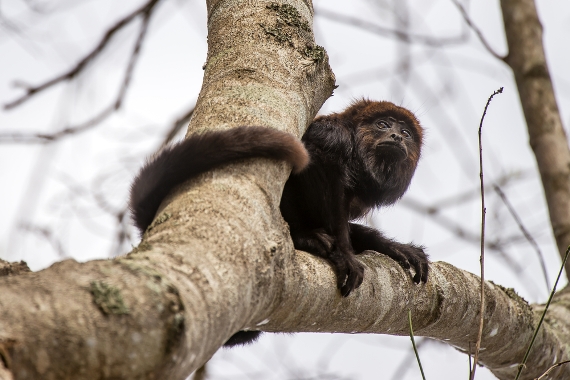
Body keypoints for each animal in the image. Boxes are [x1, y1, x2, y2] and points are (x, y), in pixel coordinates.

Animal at [129, 100, 426, 348]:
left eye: (406, 133)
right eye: (383, 124)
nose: (396, 136)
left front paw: (393, 247)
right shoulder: (332, 135)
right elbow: (321, 164)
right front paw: (343, 253)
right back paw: (305, 238)